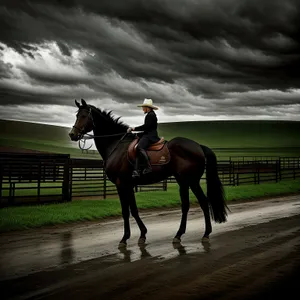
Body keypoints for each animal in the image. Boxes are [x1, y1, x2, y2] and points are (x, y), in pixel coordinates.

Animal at [69, 98, 229, 246]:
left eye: (84, 116)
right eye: (76, 115)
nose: (72, 134)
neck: (116, 145)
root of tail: (198, 146)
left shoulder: (121, 185)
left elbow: (126, 211)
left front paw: (125, 238)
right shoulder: (128, 185)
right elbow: (133, 210)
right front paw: (142, 235)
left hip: (187, 181)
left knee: (193, 204)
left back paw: (192, 234)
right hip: (188, 181)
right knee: (197, 203)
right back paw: (194, 234)